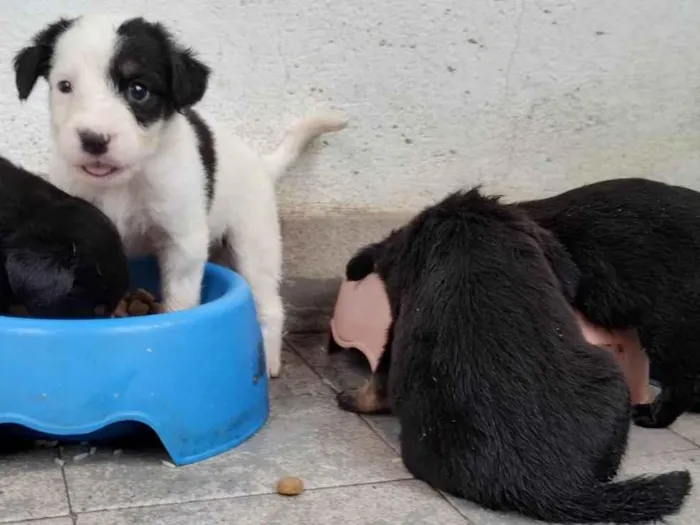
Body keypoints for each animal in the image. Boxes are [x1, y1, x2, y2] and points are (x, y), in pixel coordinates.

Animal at [13, 14, 348, 374]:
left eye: (138, 90)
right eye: (65, 86)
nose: (93, 140)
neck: (127, 180)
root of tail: (261, 163)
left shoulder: (183, 243)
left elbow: (179, 301)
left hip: (255, 243)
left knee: (269, 304)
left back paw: (269, 360)